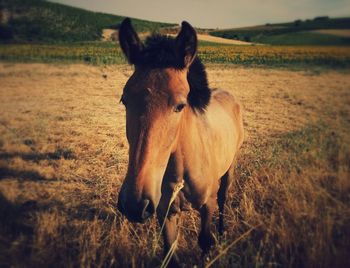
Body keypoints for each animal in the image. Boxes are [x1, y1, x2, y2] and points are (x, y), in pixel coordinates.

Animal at [117, 18, 243, 266]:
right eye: (124, 100)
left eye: (180, 105)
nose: (135, 204)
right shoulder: (165, 213)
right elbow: (170, 253)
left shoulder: (207, 205)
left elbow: (205, 242)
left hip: (230, 167)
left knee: (224, 198)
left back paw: (223, 233)